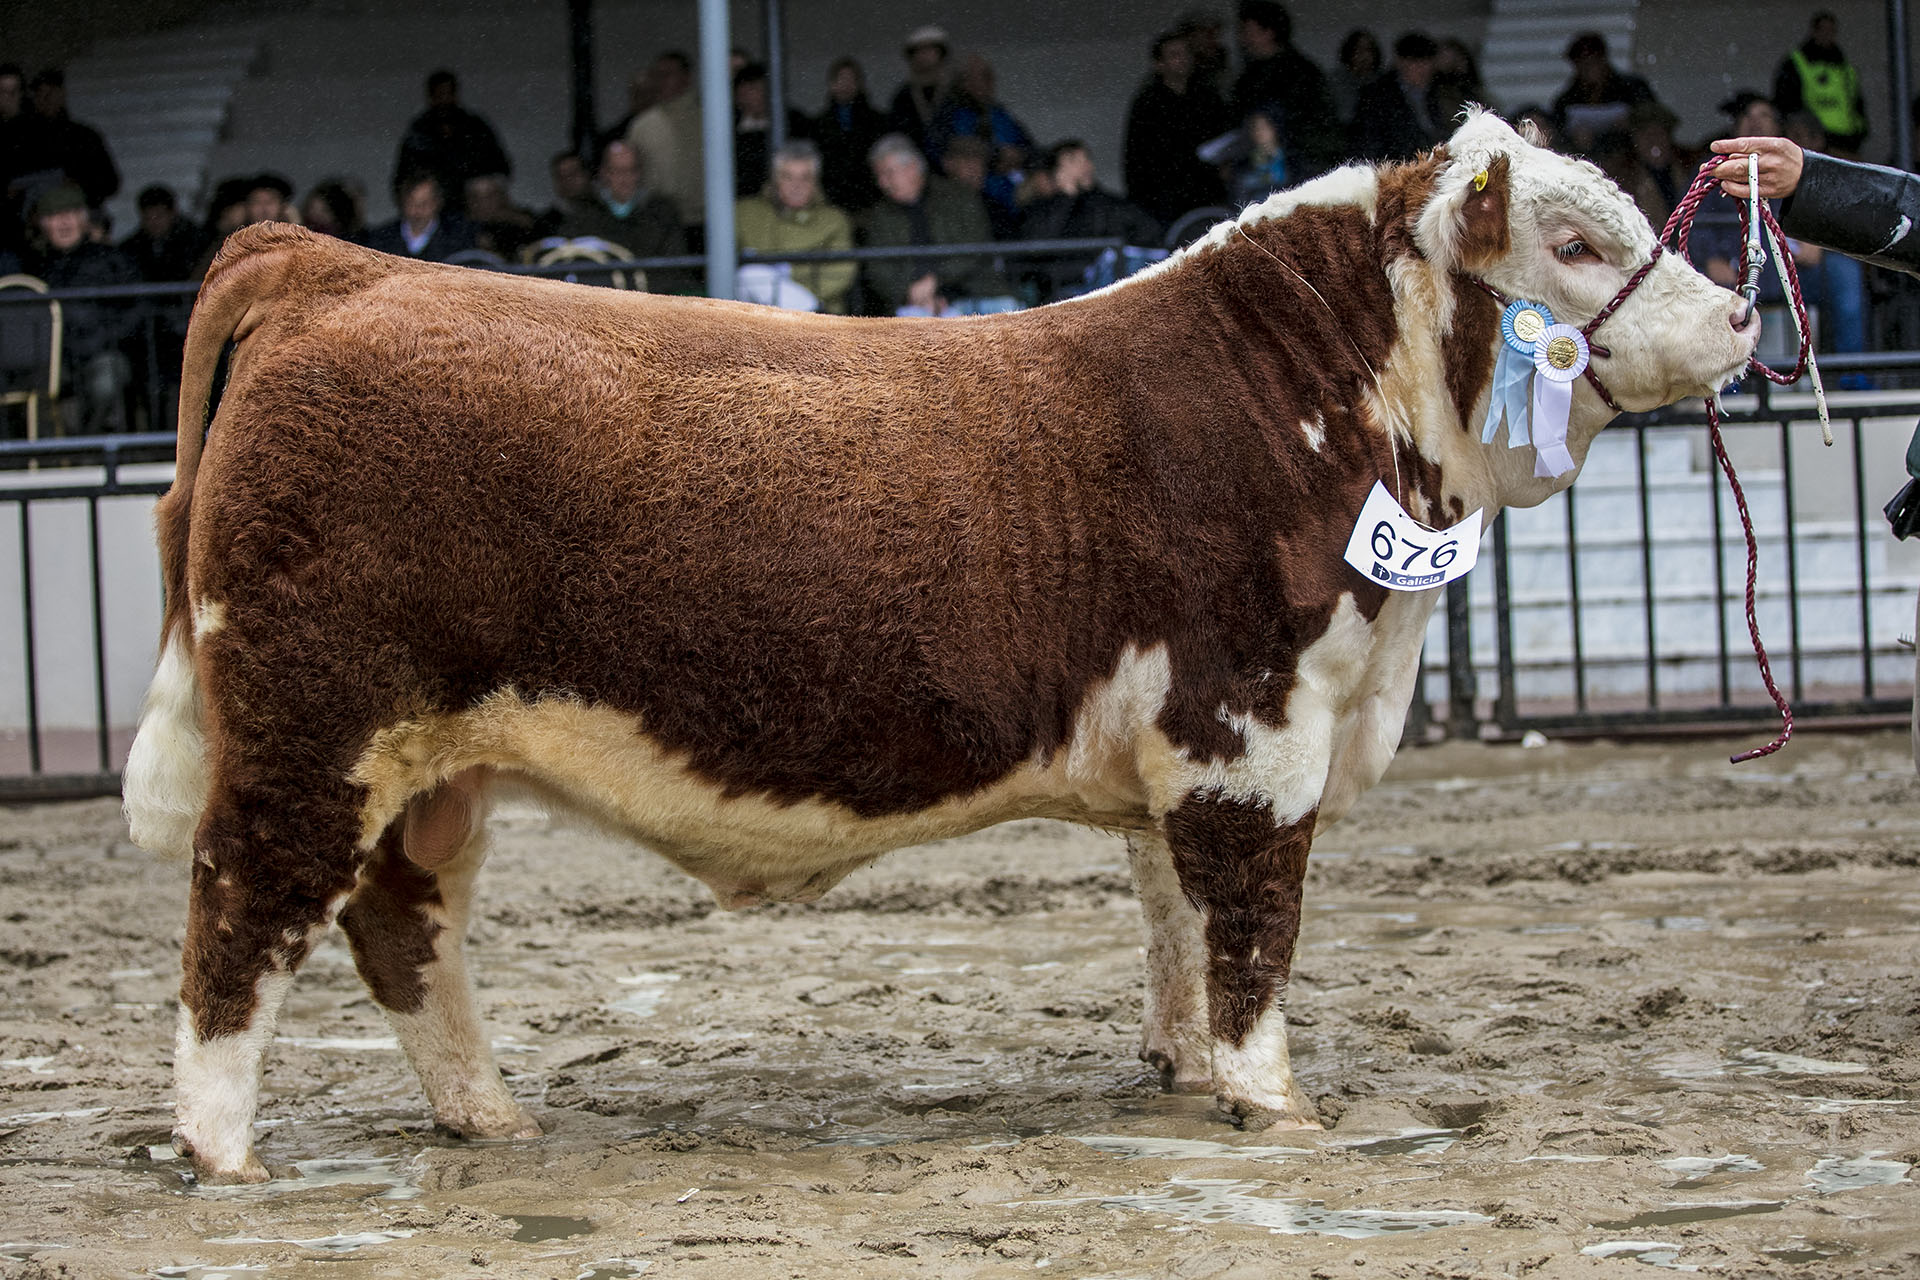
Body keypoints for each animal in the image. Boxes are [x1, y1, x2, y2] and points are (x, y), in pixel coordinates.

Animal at [127, 115, 1758, 1189]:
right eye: (1574, 240)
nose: (1746, 313)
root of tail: (327, 266)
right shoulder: (1253, 729)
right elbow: (1251, 926)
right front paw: (1275, 1105)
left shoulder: (1187, 754)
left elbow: (1172, 916)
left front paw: (1182, 1077)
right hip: (314, 730)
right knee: (241, 910)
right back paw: (222, 1155)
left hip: (432, 767)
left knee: (401, 924)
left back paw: (490, 1116)